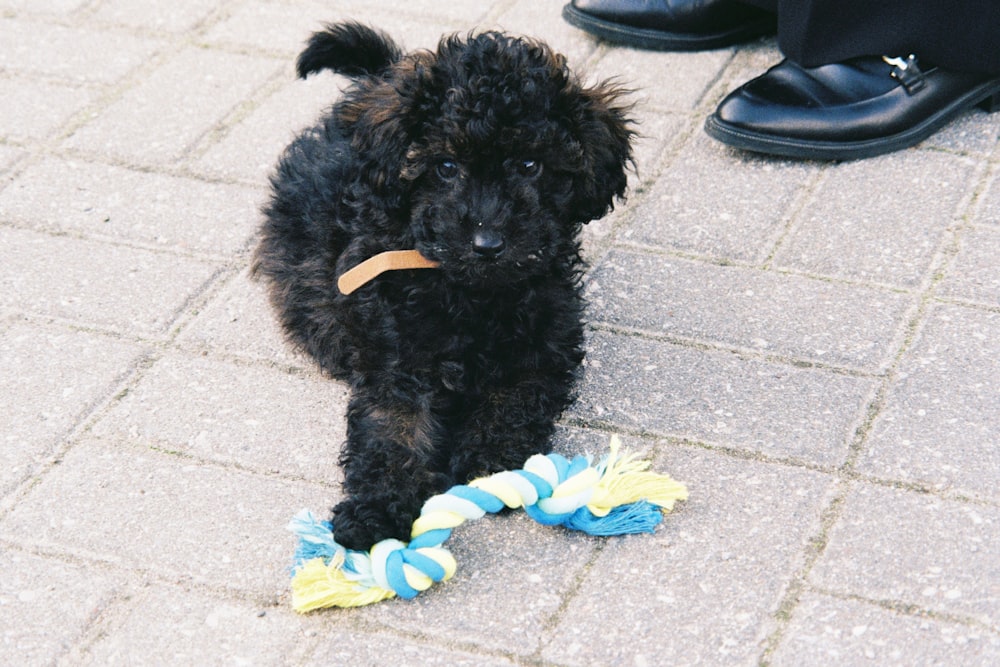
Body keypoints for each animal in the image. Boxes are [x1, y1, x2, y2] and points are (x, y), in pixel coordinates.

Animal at [254, 22, 628, 552]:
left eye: (530, 165)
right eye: (446, 167)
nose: (488, 244)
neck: (472, 295)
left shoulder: (543, 347)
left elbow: (514, 401)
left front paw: (491, 461)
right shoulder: (396, 359)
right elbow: (392, 433)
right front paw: (374, 511)